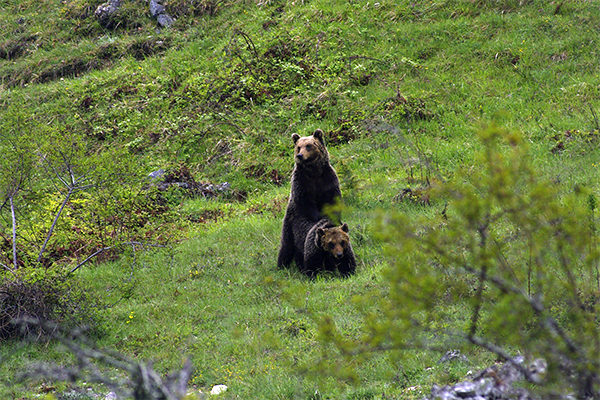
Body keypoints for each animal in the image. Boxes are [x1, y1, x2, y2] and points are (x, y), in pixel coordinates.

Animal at [278, 130, 342, 270]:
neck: (314, 172)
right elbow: (305, 202)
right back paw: (282, 265)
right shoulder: (301, 182)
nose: (300, 155)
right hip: (289, 222)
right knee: (286, 245)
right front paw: (318, 216)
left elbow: (333, 200)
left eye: (308, 145)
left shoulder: (328, 179)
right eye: (298, 147)